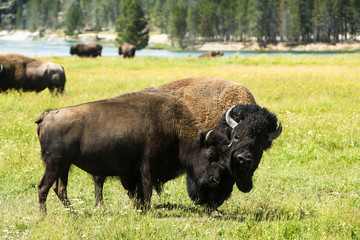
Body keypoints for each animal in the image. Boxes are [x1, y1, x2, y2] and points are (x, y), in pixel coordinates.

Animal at [35, 92, 228, 214]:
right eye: (211, 154)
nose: (215, 180)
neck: (176, 129)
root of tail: (47, 115)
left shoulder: (132, 172)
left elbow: (136, 193)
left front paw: (140, 209)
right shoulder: (147, 167)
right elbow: (145, 190)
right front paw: (146, 211)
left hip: (64, 166)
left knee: (60, 188)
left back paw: (73, 212)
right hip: (55, 164)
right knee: (43, 187)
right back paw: (44, 216)